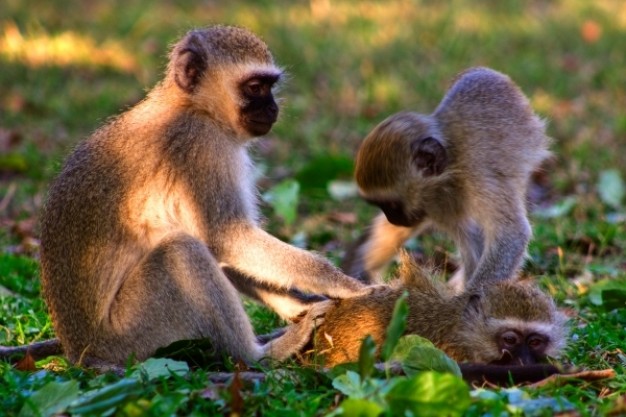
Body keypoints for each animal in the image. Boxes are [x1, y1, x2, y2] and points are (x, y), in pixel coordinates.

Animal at [37, 26, 366, 366]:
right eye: (255, 87)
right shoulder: (204, 146)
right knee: (182, 251)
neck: (191, 106)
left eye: (270, 87)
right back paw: (257, 355)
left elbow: (226, 249)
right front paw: (348, 286)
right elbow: (227, 237)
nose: (273, 108)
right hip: (131, 336)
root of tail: (81, 351)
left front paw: (300, 305)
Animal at [344, 68, 548, 290]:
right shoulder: (434, 205)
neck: (449, 169)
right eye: (381, 206)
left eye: (392, 205)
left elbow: (511, 234)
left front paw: (468, 298)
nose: (392, 218)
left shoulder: (479, 180)